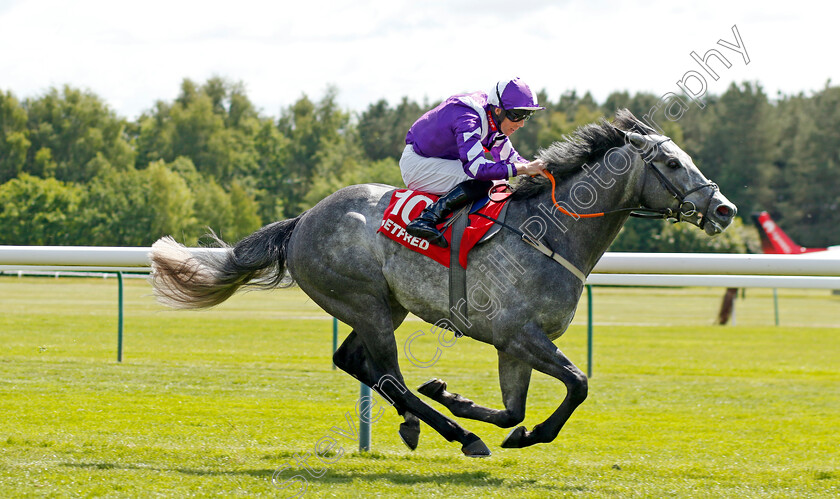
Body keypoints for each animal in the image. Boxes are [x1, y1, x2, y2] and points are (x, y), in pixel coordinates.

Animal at [149, 109, 736, 458]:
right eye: (670, 163)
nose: (724, 210)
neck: (551, 231)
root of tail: (302, 221)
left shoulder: (512, 346)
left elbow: (515, 408)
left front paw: (464, 401)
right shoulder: (519, 334)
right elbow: (578, 383)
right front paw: (524, 433)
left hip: (387, 306)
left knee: (357, 362)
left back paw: (424, 422)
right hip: (363, 300)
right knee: (386, 373)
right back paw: (456, 434)